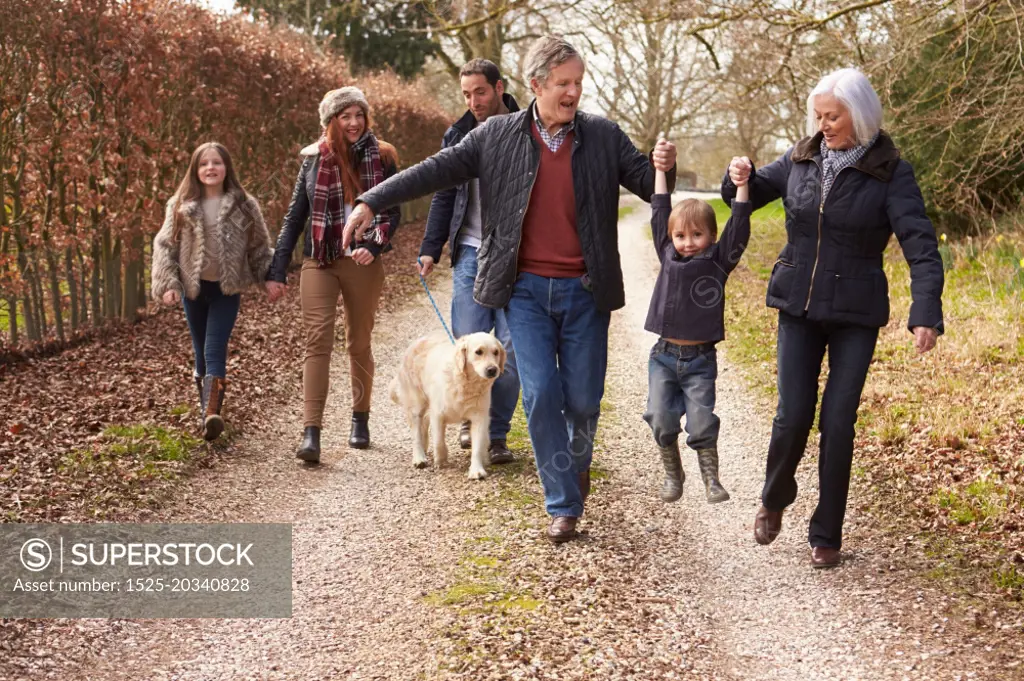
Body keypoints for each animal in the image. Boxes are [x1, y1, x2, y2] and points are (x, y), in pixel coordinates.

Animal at [389, 329, 505, 477]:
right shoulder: (438, 414)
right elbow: (438, 441)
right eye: (478, 352)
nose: (492, 369)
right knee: (416, 433)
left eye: (496, 352)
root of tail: (416, 342)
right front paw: (441, 459)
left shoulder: (480, 417)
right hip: (416, 405)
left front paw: (476, 470)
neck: (466, 384)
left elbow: (478, 446)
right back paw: (419, 457)